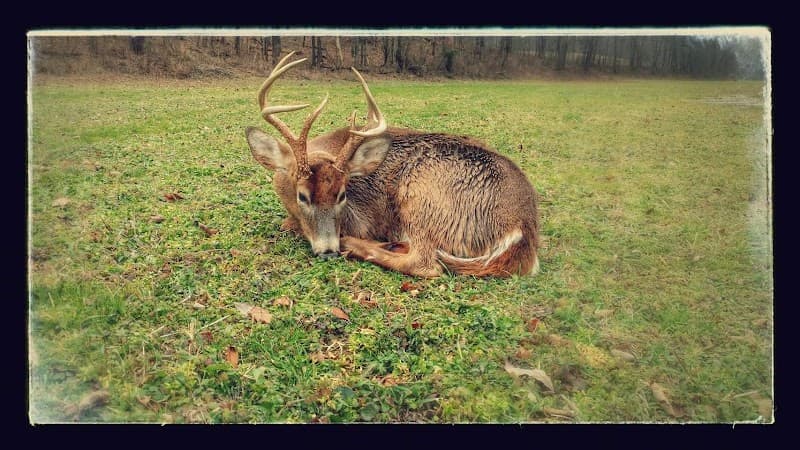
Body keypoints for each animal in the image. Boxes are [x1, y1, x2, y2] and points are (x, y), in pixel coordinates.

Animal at [245, 52, 541, 278]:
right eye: (302, 196)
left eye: (342, 195)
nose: (328, 251)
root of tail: (523, 227)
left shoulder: (361, 219)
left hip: (422, 194)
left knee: (426, 263)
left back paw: (360, 245)